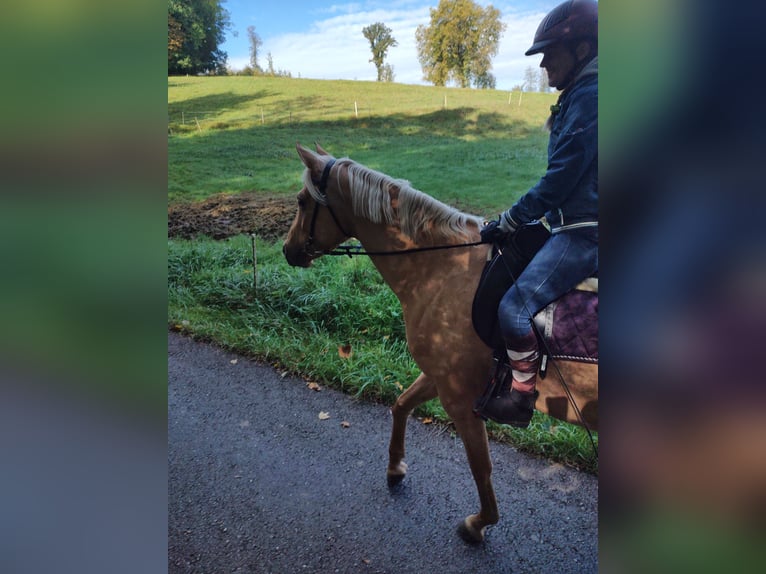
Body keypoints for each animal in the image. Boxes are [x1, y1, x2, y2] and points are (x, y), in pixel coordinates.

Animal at [282, 143, 600, 544]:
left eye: (301, 200)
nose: (287, 250)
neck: (443, 267)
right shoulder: (439, 376)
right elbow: (401, 405)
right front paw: (395, 468)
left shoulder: (459, 398)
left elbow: (481, 466)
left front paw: (479, 523)